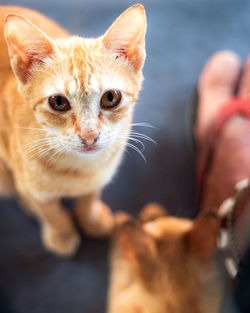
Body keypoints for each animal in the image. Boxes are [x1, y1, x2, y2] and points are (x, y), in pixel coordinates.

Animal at [0, 4, 146, 256]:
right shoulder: (30, 183)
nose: (89, 135)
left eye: (111, 98)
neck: (79, 170)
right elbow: (49, 211)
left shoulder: (100, 174)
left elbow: (89, 199)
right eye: (58, 102)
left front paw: (91, 220)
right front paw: (62, 233)